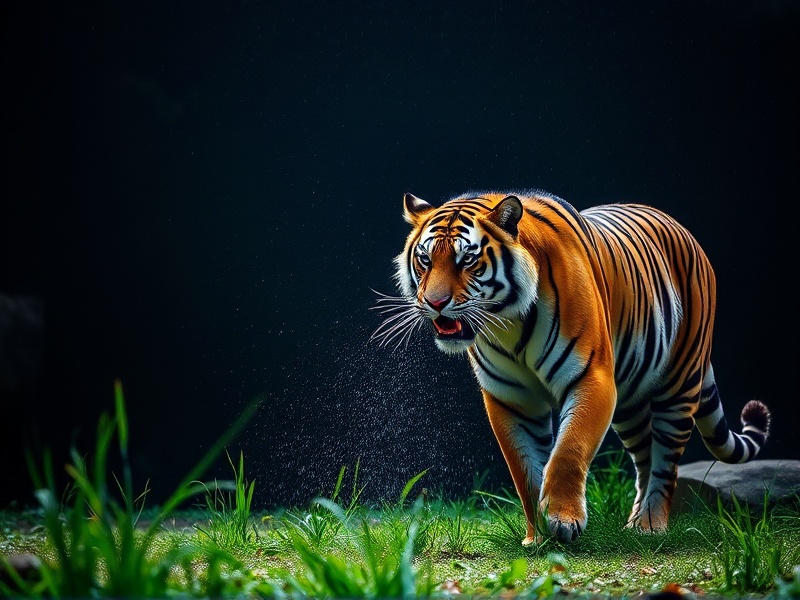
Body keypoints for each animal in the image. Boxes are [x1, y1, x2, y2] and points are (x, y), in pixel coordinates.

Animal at [372, 189, 771, 544]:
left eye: (466, 260)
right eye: (425, 260)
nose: (434, 303)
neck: (508, 323)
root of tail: (682, 229)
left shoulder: (591, 378)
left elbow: (569, 449)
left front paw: (563, 521)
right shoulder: (510, 398)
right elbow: (525, 469)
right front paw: (538, 536)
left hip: (679, 383)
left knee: (665, 463)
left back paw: (651, 525)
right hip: (629, 403)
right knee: (644, 457)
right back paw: (634, 523)